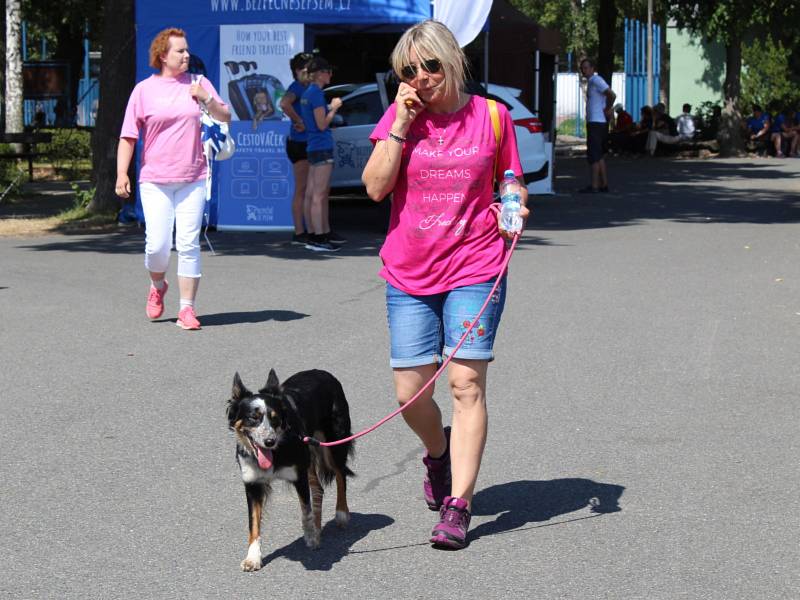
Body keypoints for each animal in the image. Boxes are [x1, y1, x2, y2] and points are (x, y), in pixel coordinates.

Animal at [223, 368, 352, 568]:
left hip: (333, 442)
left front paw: (311, 539)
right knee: (319, 488)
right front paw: (253, 557)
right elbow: (253, 523)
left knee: (340, 476)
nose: (269, 441)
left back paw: (341, 514)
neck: (277, 451)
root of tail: (322, 372)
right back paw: (319, 527)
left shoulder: (299, 476)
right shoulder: (252, 483)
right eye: (253, 418)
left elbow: (305, 511)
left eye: (275, 418)